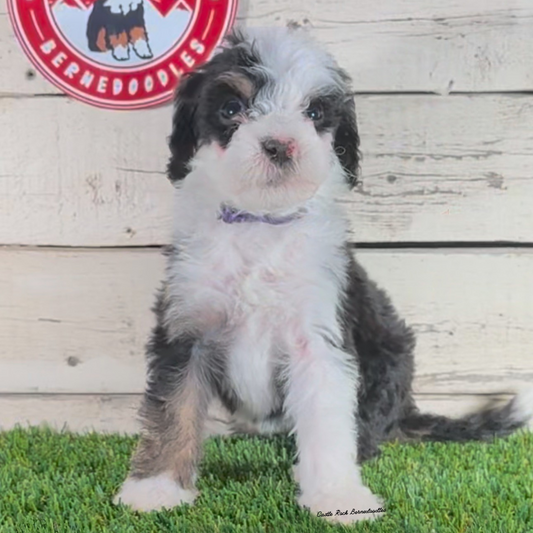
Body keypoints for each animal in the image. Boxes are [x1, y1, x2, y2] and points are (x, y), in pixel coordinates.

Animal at [114, 26, 528, 524]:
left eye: (314, 113)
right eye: (231, 108)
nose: (280, 144)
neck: (261, 223)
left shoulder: (319, 335)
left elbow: (328, 419)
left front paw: (337, 496)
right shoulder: (186, 326)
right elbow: (173, 408)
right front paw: (156, 488)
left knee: (365, 433)